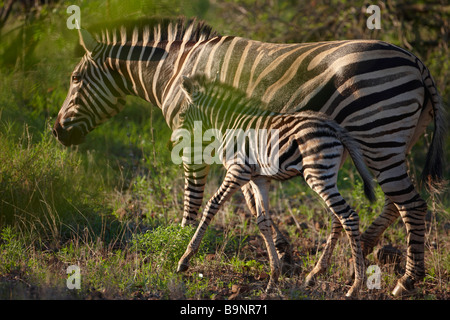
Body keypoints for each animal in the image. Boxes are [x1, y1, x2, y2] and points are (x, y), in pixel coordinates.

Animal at [176, 75, 376, 298]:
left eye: (182, 114)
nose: (177, 143)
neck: (228, 123)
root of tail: (335, 127)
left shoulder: (238, 171)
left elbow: (212, 205)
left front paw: (185, 259)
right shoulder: (258, 178)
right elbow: (262, 221)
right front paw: (273, 279)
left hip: (318, 174)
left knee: (348, 216)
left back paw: (355, 286)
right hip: (326, 175)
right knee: (337, 217)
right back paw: (315, 274)